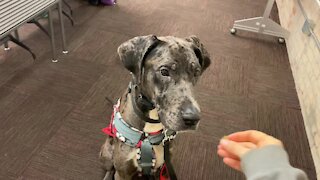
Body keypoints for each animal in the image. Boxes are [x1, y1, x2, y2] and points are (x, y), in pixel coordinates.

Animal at [99, 35, 211, 180]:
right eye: (164, 71)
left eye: (196, 72)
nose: (193, 118)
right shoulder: (123, 173)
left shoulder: (162, 168)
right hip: (106, 154)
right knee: (110, 168)